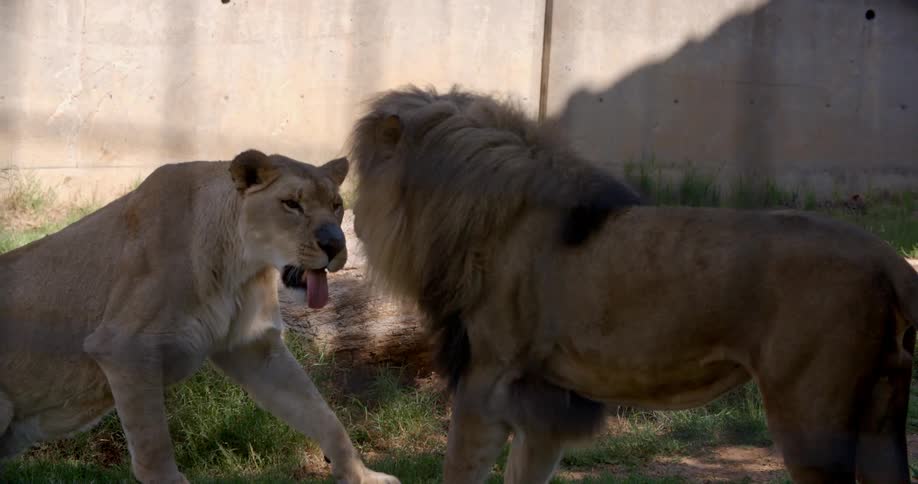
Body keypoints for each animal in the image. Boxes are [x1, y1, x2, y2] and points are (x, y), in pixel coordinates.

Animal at [0, 150, 399, 484]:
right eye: (291, 204)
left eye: (336, 205)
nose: (335, 245)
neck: (239, 267)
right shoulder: (122, 348)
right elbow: (154, 450)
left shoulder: (254, 347)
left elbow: (321, 413)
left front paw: (362, 476)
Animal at [348, 85, 918, 483]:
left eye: (357, 174)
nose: (353, 229)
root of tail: (889, 258)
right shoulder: (545, 402)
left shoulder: (487, 380)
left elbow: (460, 469)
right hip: (881, 416)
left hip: (811, 418)